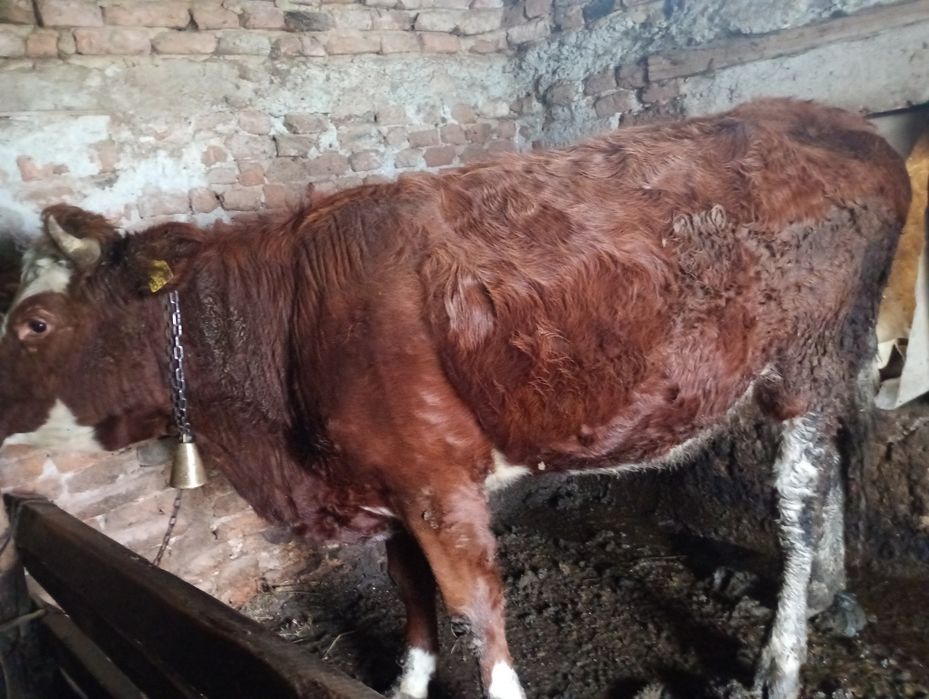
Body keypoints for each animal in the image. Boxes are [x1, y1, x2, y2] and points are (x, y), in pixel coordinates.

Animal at [0, 98, 910, 699]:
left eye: (34, 322)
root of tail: (848, 124)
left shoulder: (437, 479)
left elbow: (475, 608)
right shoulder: (384, 483)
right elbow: (409, 597)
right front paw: (404, 686)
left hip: (804, 359)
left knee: (796, 505)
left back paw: (780, 659)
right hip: (828, 364)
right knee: (833, 467)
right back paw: (827, 598)